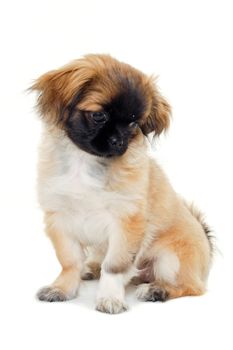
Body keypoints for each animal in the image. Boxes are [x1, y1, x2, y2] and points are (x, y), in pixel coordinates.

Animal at [31, 54, 214, 314]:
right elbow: (70, 262)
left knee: (191, 287)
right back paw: (91, 268)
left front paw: (110, 298)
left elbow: (114, 267)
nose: (118, 142)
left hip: (170, 260)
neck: (84, 162)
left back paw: (157, 290)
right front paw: (62, 289)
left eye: (133, 124)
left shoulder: (125, 224)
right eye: (99, 116)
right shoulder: (59, 219)